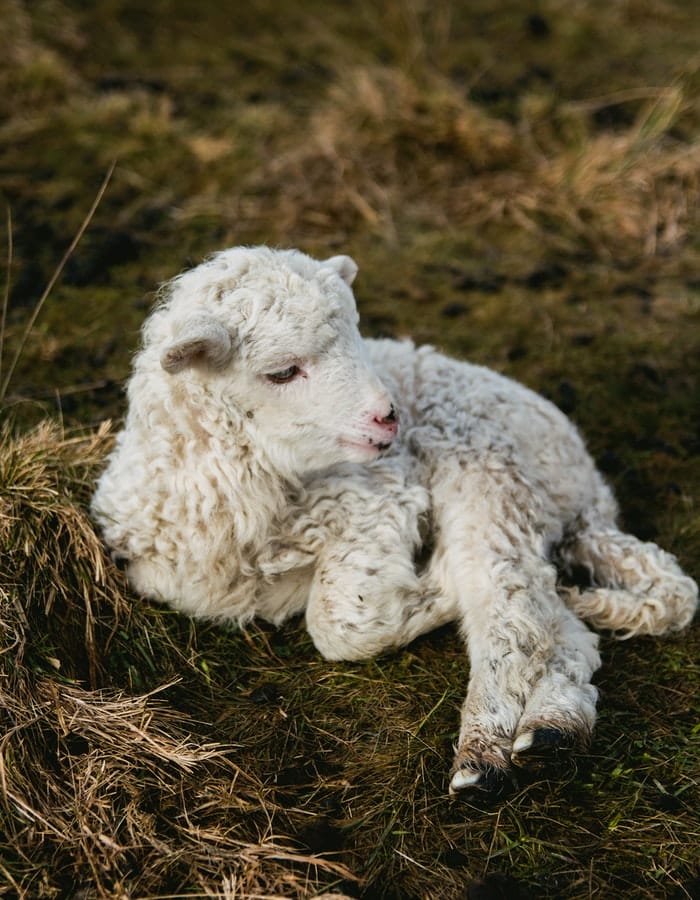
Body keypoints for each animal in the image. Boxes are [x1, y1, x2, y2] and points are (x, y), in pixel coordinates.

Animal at [92, 246, 698, 795]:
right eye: (282, 372)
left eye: (359, 338)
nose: (388, 417)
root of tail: (588, 493)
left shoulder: (379, 498)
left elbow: (339, 625)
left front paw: (436, 585)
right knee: (560, 626)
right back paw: (553, 730)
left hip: (490, 469)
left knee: (509, 607)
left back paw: (484, 757)